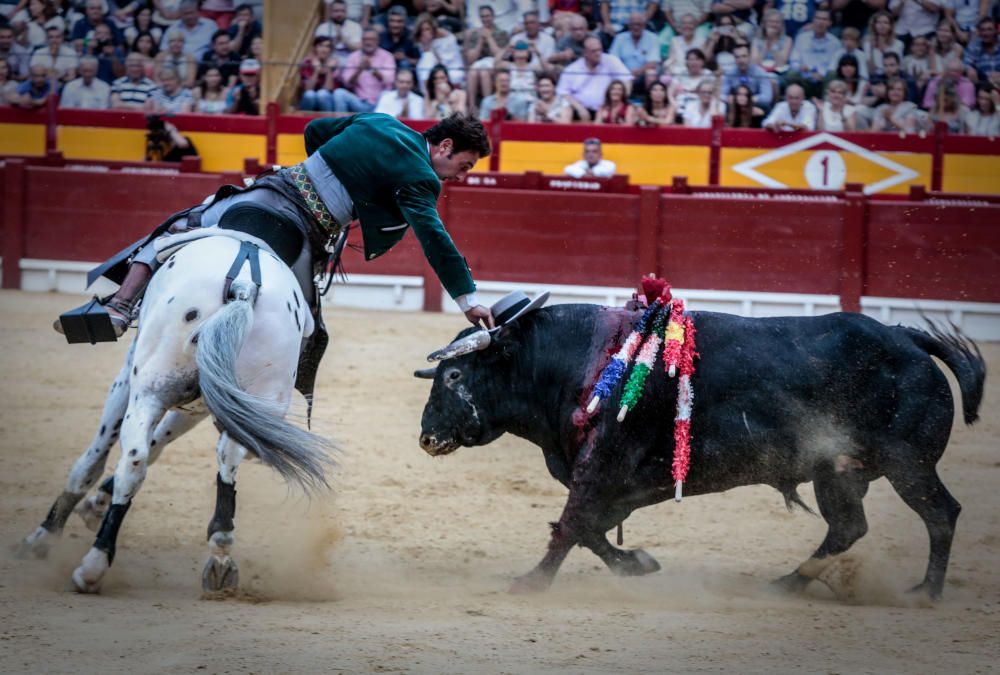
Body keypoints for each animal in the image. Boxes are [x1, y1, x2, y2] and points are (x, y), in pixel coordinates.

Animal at [16, 210, 336, 592]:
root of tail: (244, 288)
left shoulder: (128, 380)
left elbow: (94, 461)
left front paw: (42, 538)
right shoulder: (199, 405)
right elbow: (159, 445)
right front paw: (93, 506)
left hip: (151, 387)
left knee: (135, 460)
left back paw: (93, 565)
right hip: (254, 396)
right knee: (227, 457)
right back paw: (220, 555)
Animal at [414, 304, 984, 600]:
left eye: (456, 375)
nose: (426, 436)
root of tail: (906, 339)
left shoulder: (602, 469)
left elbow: (573, 524)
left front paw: (531, 582)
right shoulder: (611, 482)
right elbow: (589, 529)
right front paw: (636, 564)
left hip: (908, 464)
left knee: (941, 513)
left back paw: (925, 592)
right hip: (838, 470)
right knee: (848, 527)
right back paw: (789, 583)